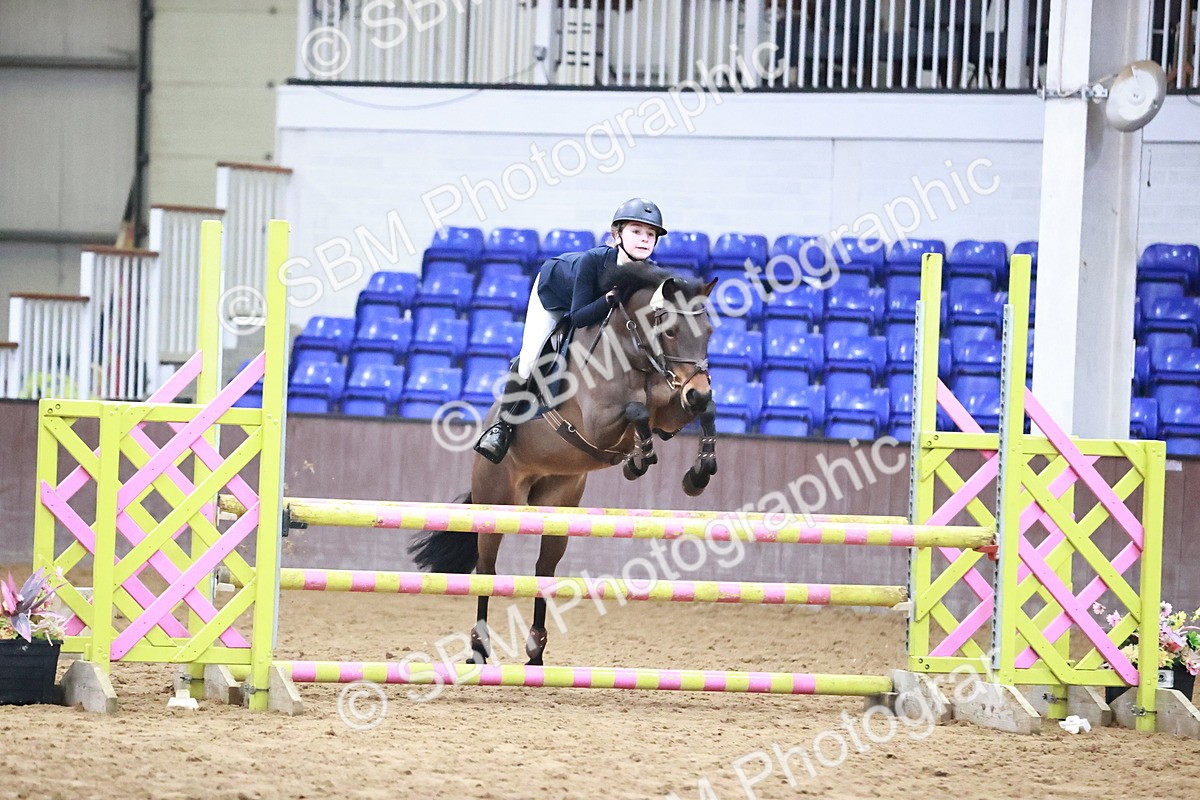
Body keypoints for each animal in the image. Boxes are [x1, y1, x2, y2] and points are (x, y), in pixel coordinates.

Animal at [409, 262, 719, 667]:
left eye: (709, 332)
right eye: (669, 330)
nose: (698, 390)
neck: (632, 354)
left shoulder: (670, 410)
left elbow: (694, 413)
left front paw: (697, 473)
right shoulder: (598, 423)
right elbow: (636, 410)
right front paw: (640, 459)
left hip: (557, 506)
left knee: (544, 569)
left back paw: (535, 651)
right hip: (496, 502)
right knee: (487, 568)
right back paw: (478, 648)